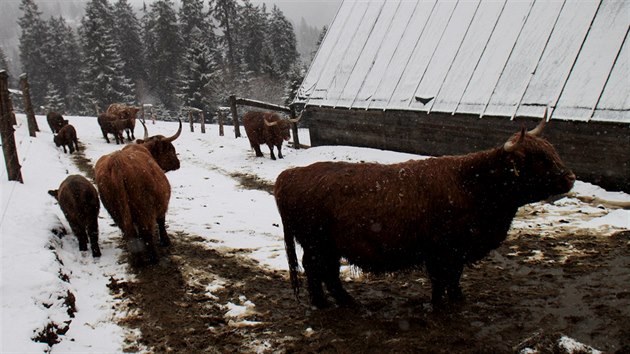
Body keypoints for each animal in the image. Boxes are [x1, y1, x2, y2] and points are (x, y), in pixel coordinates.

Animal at [95, 119, 183, 266]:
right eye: (171, 149)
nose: (177, 163)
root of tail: (117, 163)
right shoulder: (162, 204)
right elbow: (161, 221)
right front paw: (165, 241)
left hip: (115, 211)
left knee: (128, 231)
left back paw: (137, 259)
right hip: (144, 209)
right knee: (145, 231)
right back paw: (154, 258)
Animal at [276, 111, 576, 310]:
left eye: (552, 150)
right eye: (538, 158)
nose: (570, 177)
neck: (472, 184)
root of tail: (290, 175)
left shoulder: (455, 252)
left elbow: (453, 278)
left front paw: (457, 299)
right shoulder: (442, 250)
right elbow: (442, 279)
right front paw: (441, 305)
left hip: (329, 245)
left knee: (326, 272)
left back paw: (344, 301)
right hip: (317, 243)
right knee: (316, 269)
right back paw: (325, 304)